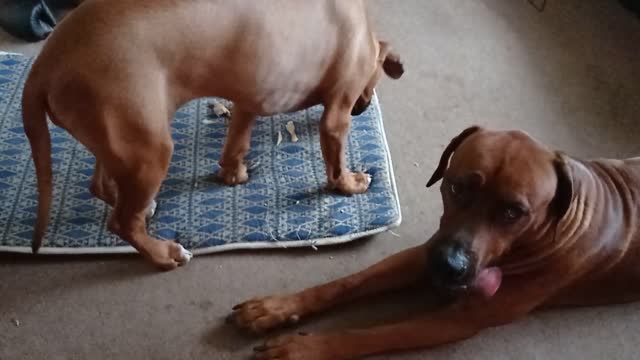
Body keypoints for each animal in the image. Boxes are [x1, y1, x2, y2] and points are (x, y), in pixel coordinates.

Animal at [23, 0, 404, 268]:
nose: (362, 110)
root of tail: (45, 65)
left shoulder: (250, 98)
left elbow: (236, 143)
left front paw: (233, 174)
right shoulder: (336, 115)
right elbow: (336, 164)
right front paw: (351, 184)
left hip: (121, 140)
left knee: (102, 186)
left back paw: (142, 208)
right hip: (150, 150)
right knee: (122, 222)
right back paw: (164, 253)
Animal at [230, 125, 640, 358]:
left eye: (514, 213)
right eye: (456, 187)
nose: (448, 264)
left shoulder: (458, 320)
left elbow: (378, 332)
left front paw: (305, 346)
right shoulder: (424, 253)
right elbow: (348, 283)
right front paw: (276, 308)